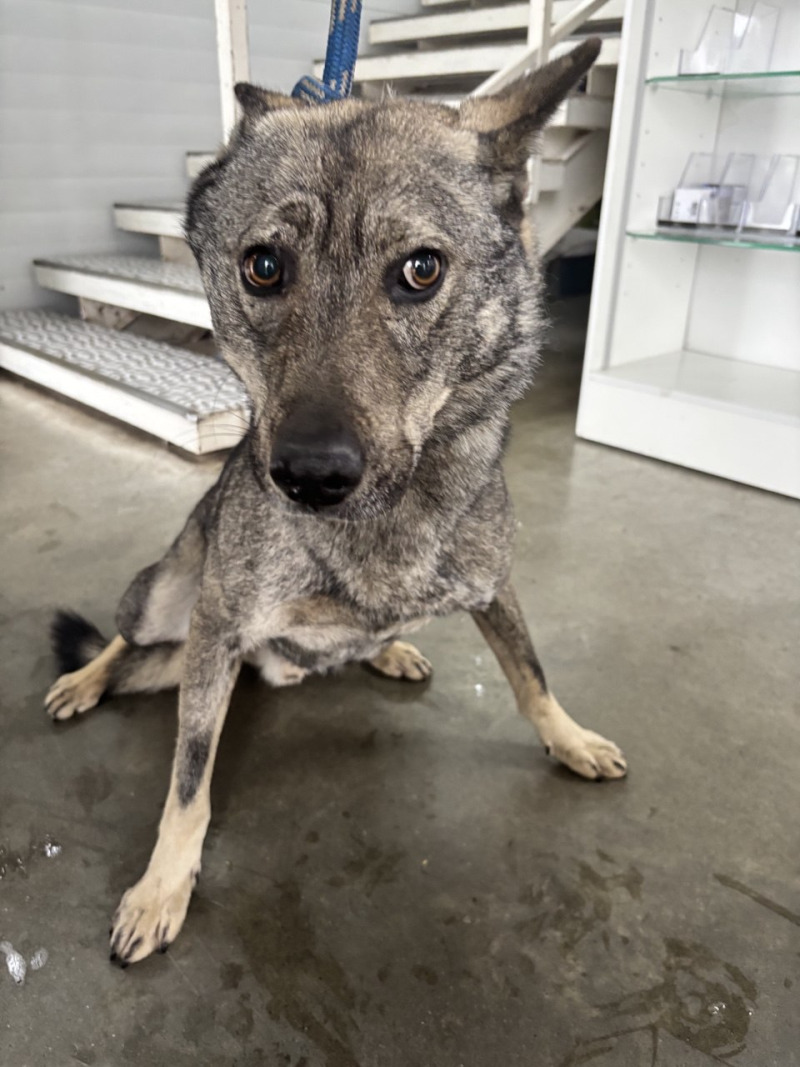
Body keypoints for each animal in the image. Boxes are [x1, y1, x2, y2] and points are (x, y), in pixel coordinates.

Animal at [44, 37, 626, 967]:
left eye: (421, 269)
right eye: (264, 265)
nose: (310, 474)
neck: (382, 526)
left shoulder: (494, 587)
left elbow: (531, 672)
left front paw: (567, 737)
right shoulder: (218, 627)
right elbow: (188, 780)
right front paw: (163, 886)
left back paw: (388, 648)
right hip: (174, 602)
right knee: (127, 640)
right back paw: (84, 677)